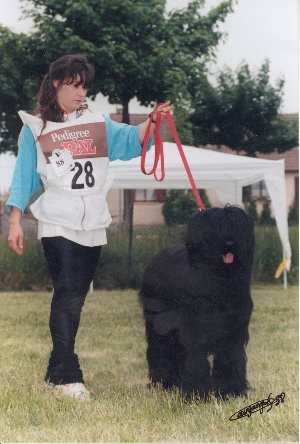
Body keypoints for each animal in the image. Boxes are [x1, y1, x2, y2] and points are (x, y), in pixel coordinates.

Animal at [139, 206, 254, 400]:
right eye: (216, 227)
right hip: (159, 326)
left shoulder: (232, 332)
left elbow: (230, 358)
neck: (219, 280)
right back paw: (164, 383)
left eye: (236, 226)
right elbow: (196, 360)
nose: (230, 243)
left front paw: (231, 391)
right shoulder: (195, 331)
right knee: (161, 349)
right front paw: (196, 394)